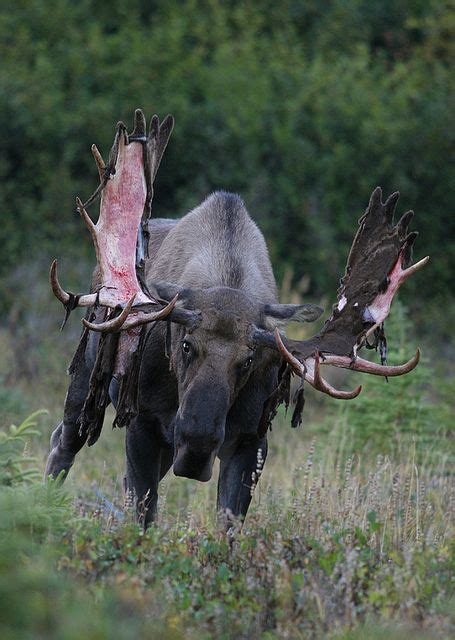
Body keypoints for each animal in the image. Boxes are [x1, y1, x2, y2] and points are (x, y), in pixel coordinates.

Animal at [44, 110, 430, 528]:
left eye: (248, 360)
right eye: (186, 344)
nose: (197, 445)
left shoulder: (251, 438)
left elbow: (228, 523)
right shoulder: (143, 420)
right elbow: (142, 514)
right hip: (88, 376)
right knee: (62, 442)